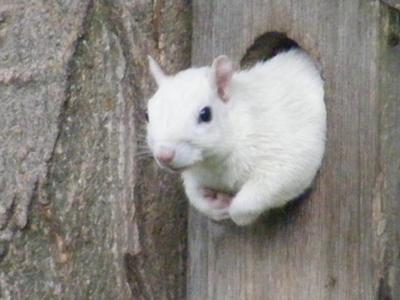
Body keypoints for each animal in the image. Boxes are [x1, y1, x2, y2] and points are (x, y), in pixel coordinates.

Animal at [145, 49, 326, 225]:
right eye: (147, 115)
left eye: (206, 114)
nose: (164, 156)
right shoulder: (196, 173)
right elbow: (193, 193)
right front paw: (214, 206)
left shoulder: (284, 148)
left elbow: (259, 193)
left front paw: (234, 210)